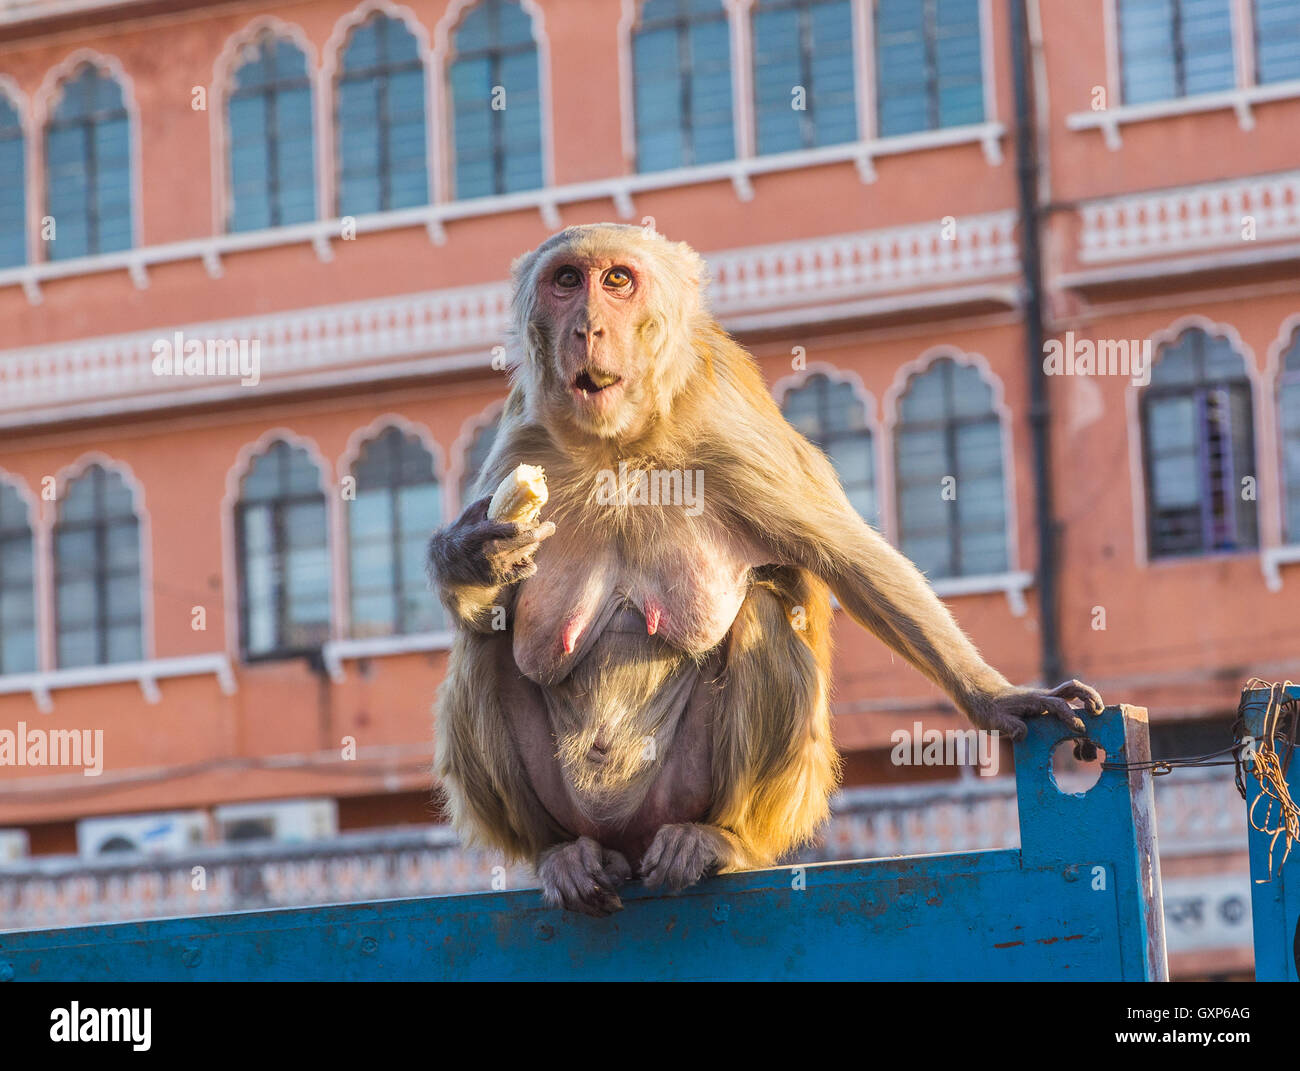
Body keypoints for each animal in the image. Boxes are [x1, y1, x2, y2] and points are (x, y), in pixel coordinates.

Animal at [428, 223, 1103, 917]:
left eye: (616, 280)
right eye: (566, 281)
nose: (586, 326)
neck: (618, 447)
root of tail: (629, 840)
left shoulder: (728, 435)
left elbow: (852, 562)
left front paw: (998, 696)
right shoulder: (522, 438)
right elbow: (491, 605)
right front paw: (471, 557)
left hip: (745, 802)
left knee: (761, 618)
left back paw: (719, 841)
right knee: (486, 645)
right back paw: (558, 854)